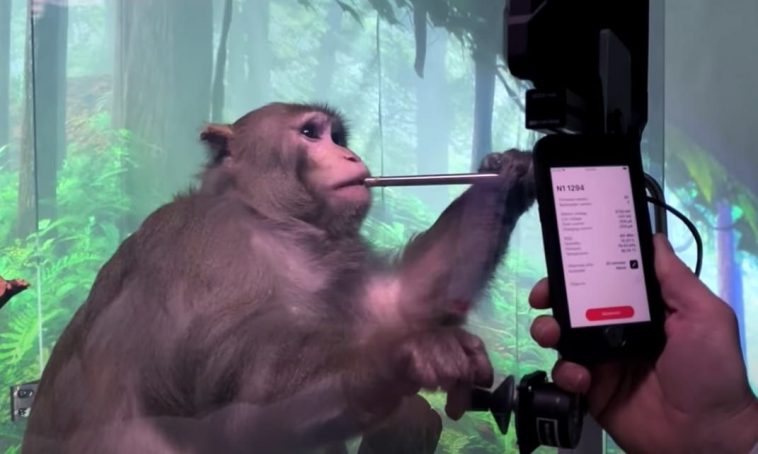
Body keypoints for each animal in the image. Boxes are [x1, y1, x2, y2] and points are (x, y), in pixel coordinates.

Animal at [21, 102, 536, 454]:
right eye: (311, 133)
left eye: (337, 135)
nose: (350, 155)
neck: (265, 220)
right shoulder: (212, 251)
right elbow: (235, 406)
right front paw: (403, 354)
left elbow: (397, 300)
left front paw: (508, 175)